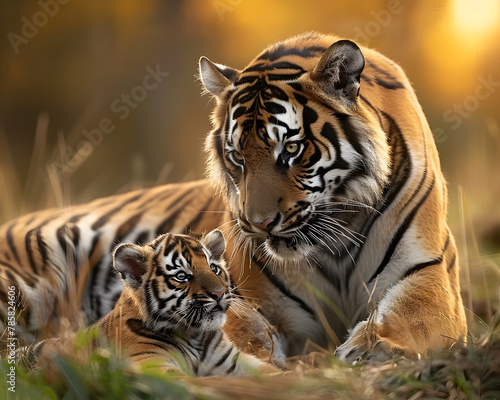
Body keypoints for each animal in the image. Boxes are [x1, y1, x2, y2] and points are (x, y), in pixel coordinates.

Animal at [1, 33, 466, 362]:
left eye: (291, 149)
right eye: (236, 156)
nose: (259, 225)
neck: (332, 239)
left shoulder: (427, 274)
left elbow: (410, 317)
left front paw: (370, 349)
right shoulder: (235, 289)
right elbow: (233, 322)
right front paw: (259, 350)